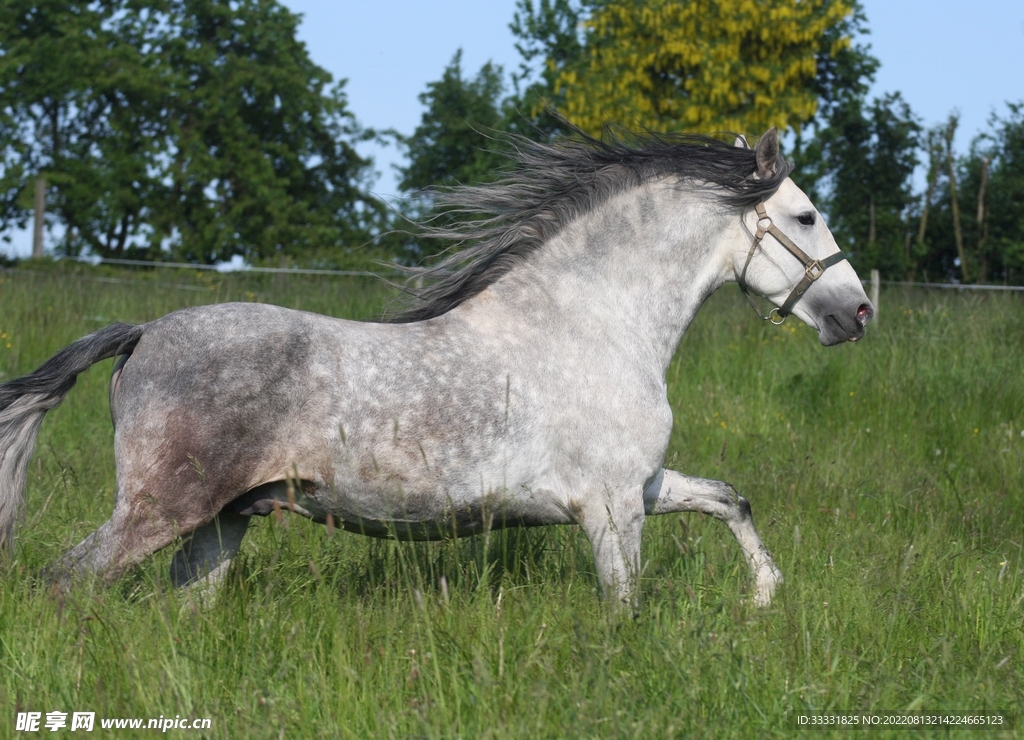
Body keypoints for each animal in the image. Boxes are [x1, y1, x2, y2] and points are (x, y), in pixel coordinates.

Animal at [0, 127, 872, 610]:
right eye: (806, 216)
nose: (859, 312)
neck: (593, 323)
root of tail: (143, 334)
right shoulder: (611, 509)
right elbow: (625, 607)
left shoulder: (640, 486)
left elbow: (728, 498)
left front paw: (765, 597)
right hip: (160, 510)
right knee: (63, 583)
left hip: (222, 523)